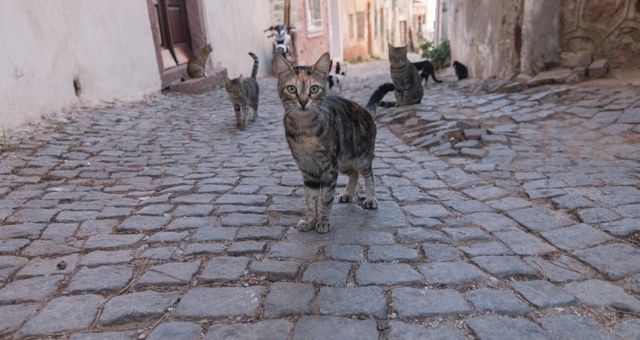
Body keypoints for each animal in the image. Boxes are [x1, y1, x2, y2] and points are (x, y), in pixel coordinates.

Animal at [272, 52, 378, 234]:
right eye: (292, 89)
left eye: (314, 89)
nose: (303, 101)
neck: (305, 131)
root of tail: (365, 110)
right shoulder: (307, 169)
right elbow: (310, 198)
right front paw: (310, 221)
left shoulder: (329, 167)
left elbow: (326, 198)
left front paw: (323, 221)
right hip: (343, 161)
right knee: (354, 174)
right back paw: (348, 193)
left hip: (361, 158)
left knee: (368, 175)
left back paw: (371, 198)